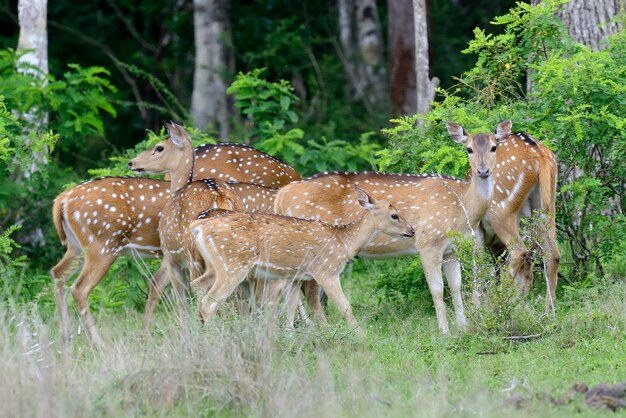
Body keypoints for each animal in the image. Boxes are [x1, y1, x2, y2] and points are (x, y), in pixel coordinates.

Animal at [51, 137, 300, 346]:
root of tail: (61, 200)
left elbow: (157, 285)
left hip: (77, 247)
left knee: (58, 273)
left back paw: (66, 337)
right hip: (103, 245)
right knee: (80, 288)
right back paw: (98, 343)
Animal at [190, 188, 414, 334]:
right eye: (395, 215)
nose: (411, 230)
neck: (344, 243)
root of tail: (199, 227)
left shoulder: (296, 276)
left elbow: (290, 307)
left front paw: (289, 335)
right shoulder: (326, 270)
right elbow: (345, 307)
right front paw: (361, 337)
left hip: (215, 266)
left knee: (198, 285)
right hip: (233, 264)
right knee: (210, 301)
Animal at [272, 120, 502, 334]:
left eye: (494, 146)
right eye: (469, 148)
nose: (483, 171)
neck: (461, 208)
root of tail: (281, 195)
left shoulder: (451, 249)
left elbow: (455, 286)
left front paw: (462, 328)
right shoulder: (428, 242)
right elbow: (437, 289)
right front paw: (444, 332)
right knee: (308, 292)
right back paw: (319, 329)